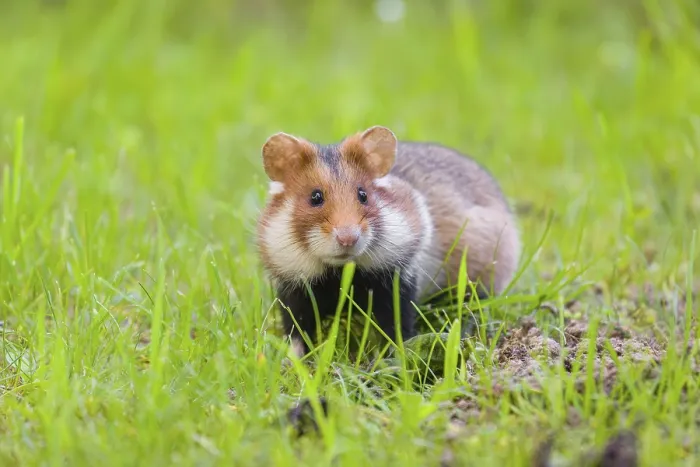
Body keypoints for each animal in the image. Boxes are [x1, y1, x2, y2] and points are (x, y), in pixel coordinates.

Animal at [256, 126, 521, 357]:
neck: (341, 271)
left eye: (363, 195)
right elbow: (298, 334)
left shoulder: (397, 283)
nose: (348, 238)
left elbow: (396, 328)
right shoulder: (295, 291)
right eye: (315, 197)